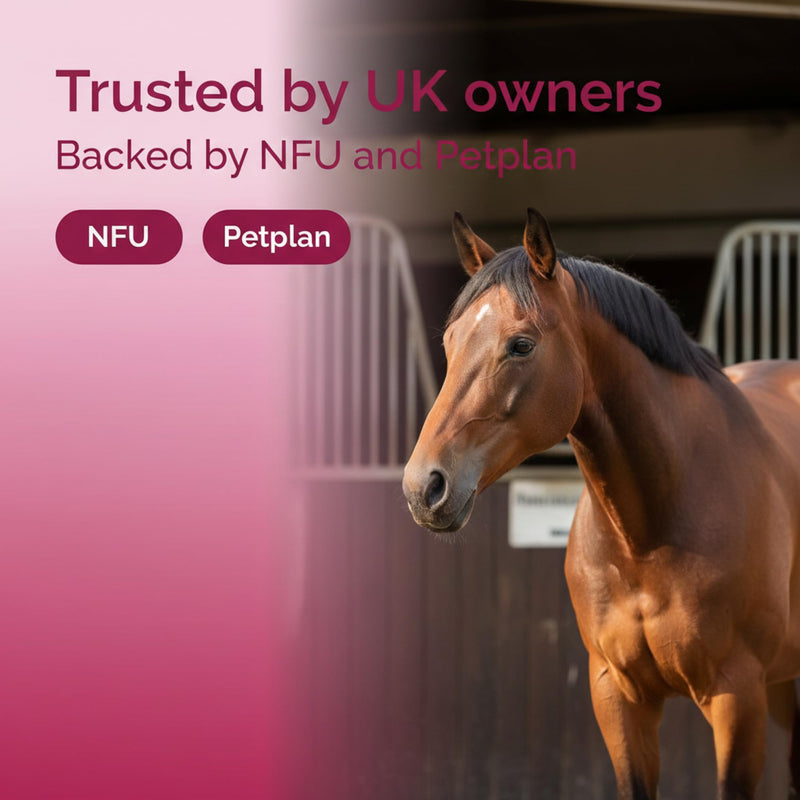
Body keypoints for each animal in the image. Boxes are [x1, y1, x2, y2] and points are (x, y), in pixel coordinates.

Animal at [402, 208, 800, 800]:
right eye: (450, 342)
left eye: (521, 345)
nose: (423, 487)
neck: (649, 537)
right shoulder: (617, 696)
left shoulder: (738, 696)